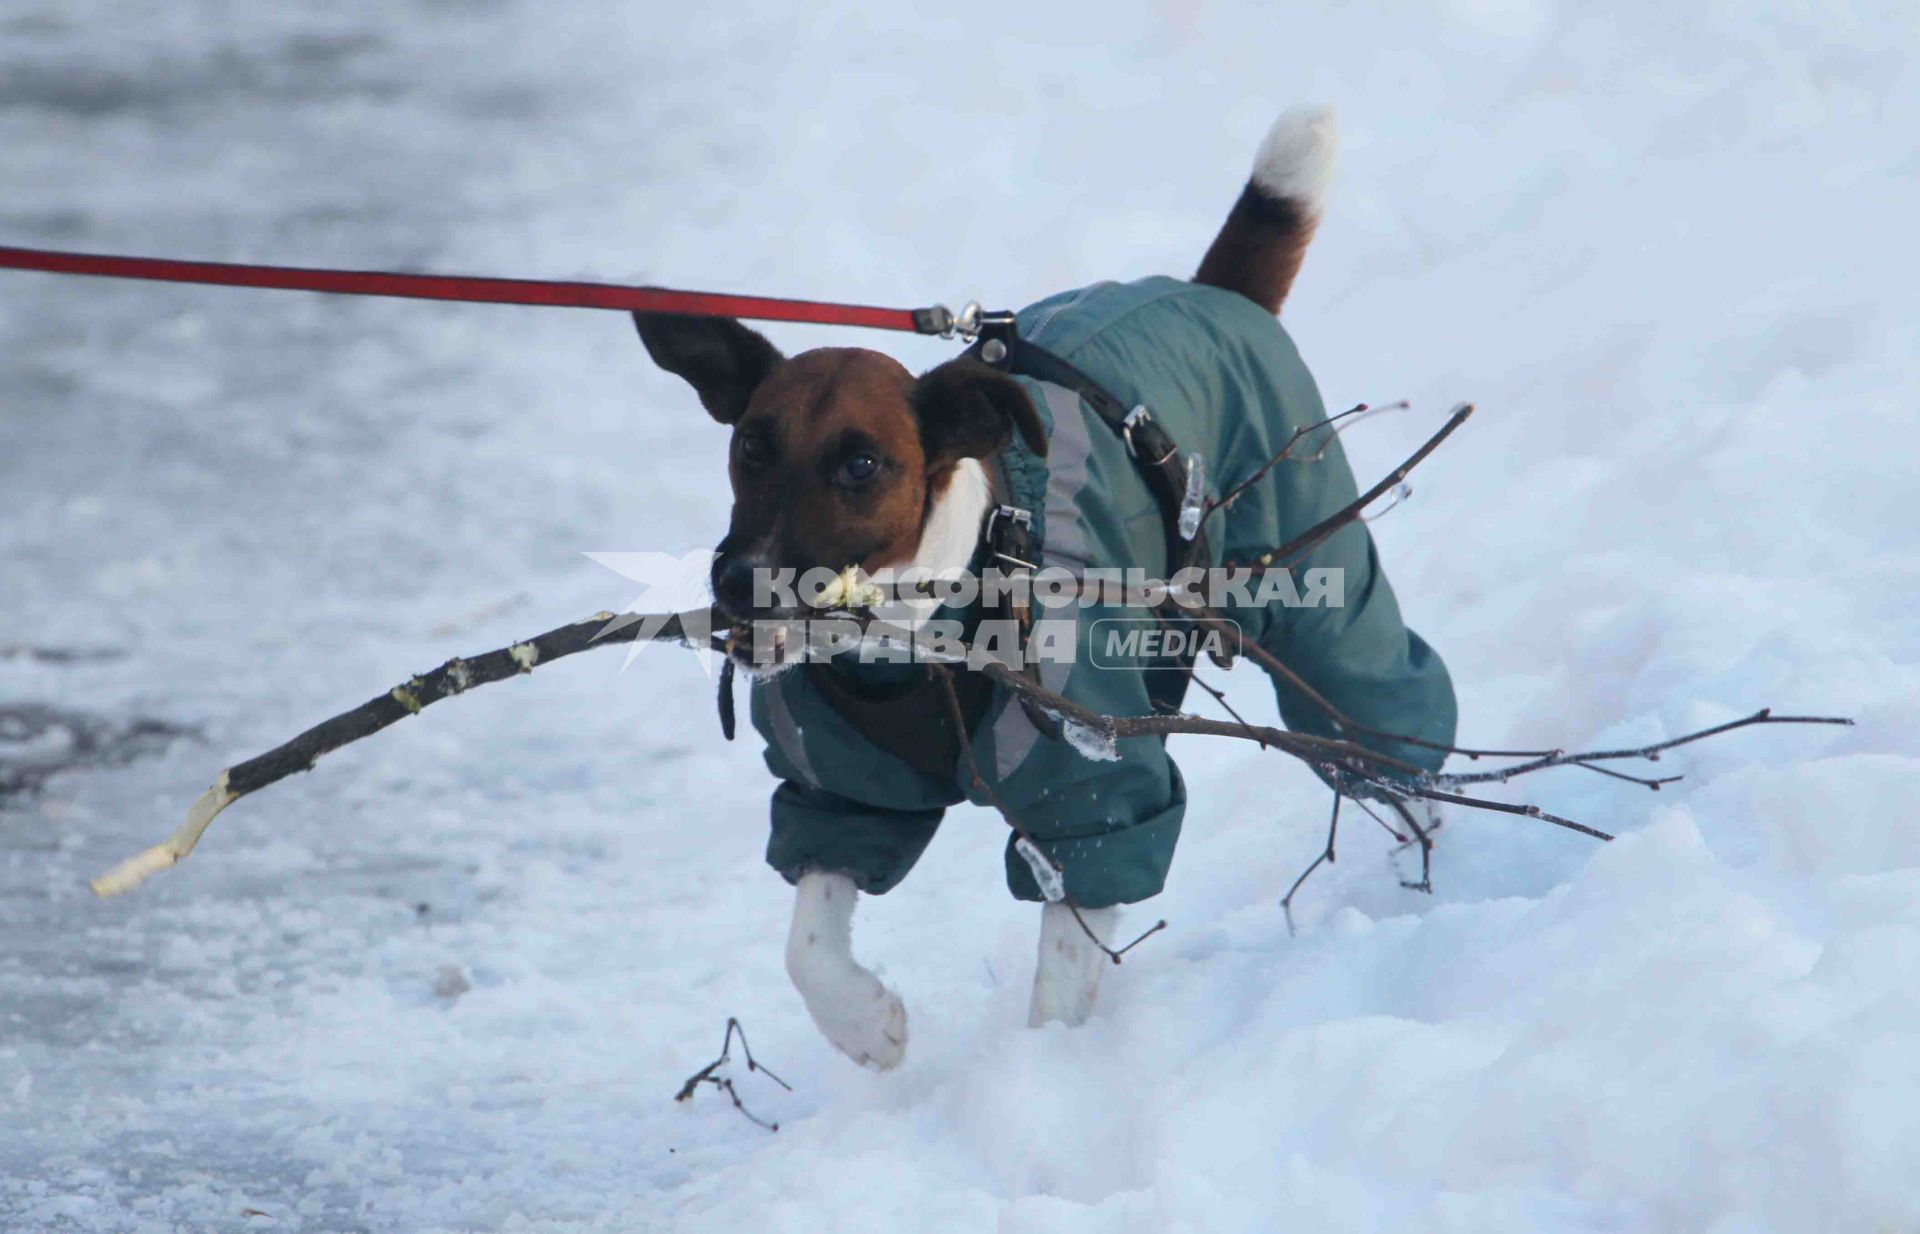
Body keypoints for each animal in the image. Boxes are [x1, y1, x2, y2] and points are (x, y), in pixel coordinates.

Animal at [629, 106, 1451, 1074]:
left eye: (862, 465)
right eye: (751, 446)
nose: (736, 582)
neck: (907, 646)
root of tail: (1211, 295)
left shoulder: (1095, 798)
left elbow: (1062, 975)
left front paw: (1046, 1079)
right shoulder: (840, 789)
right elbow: (810, 944)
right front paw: (866, 1024)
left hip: (1308, 589)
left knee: (1376, 720)